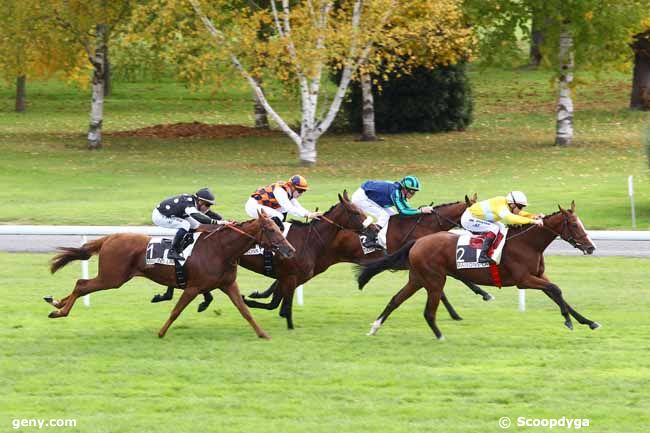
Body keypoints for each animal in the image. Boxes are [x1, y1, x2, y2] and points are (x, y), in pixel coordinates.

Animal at [46, 211, 296, 340]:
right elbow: (176, 311)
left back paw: (56, 303)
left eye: (278, 228)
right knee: (82, 284)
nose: (290, 250)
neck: (220, 249)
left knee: (81, 285)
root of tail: (109, 238)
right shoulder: (193, 287)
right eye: (271, 229)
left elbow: (245, 311)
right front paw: (161, 332)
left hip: (112, 277)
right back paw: (59, 311)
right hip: (112, 277)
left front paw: (263, 334)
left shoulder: (228, 285)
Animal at [354, 201, 596, 340]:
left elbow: (557, 293)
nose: (591, 247)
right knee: (428, 311)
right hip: (434, 279)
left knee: (395, 300)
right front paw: (568, 321)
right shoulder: (523, 280)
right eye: (574, 225)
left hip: (417, 279)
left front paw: (587, 321)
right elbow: (555, 289)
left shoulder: (537, 276)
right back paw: (440, 336)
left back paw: (375, 327)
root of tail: (417, 242)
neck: (528, 243)